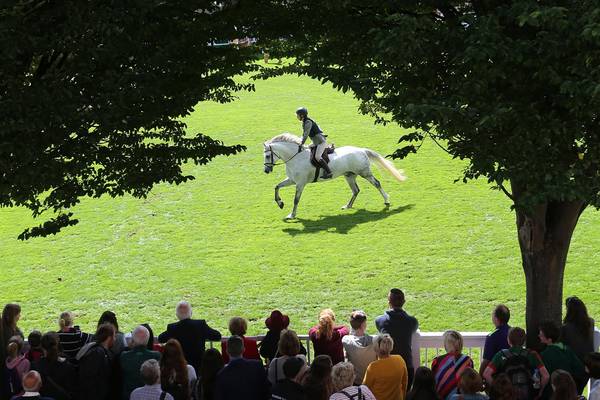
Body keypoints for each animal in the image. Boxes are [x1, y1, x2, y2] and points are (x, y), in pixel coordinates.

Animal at [264, 134, 408, 219]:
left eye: (267, 155)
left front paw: (292, 215)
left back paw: (387, 200)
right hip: (349, 175)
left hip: (364, 173)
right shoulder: (292, 180)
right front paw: (280, 203)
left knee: (376, 183)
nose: (266, 170)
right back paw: (347, 206)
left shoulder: (300, 183)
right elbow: (276, 187)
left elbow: (296, 200)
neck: (295, 158)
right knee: (356, 190)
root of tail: (361, 150)